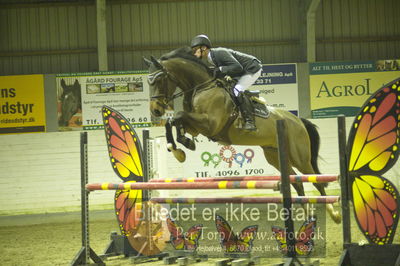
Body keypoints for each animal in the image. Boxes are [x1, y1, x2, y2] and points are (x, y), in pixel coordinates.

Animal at [144, 46, 340, 223]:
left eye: (160, 79)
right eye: (148, 82)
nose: (155, 110)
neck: (202, 87)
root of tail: (298, 120)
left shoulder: (210, 124)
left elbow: (178, 115)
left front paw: (181, 146)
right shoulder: (197, 127)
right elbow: (174, 121)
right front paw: (179, 147)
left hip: (299, 157)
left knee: (316, 180)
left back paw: (334, 214)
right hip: (274, 155)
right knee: (297, 181)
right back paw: (308, 217)